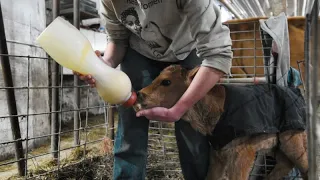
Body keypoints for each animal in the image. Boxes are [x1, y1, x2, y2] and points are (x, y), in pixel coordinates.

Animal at [132, 65, 308, 180]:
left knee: (305, 165)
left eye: (166, 82)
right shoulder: (218, 152)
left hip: (293, 140)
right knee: (285, 165)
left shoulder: (243, 153)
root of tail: (298, 90)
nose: (140, 94)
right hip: (276, 146)